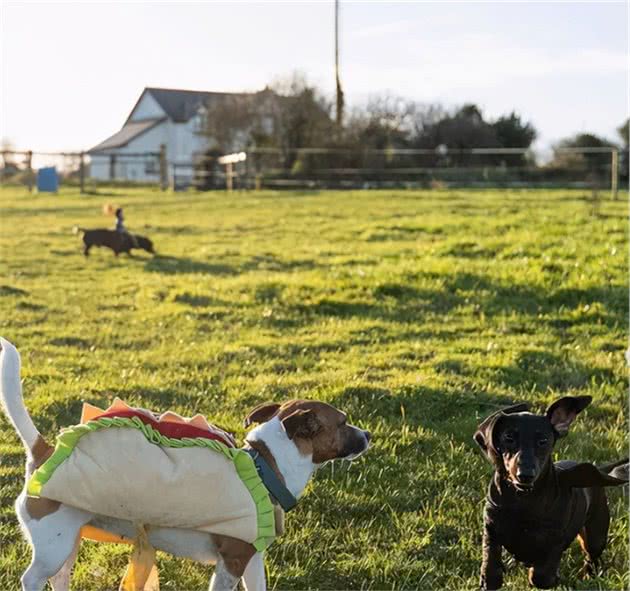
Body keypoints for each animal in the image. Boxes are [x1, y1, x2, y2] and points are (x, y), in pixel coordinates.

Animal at [0, 338, 372, 591]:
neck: (264, 469)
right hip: (53, 545)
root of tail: (44, 452)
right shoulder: (231, 563)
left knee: (60, 576)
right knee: (32, 577)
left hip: (67, 539)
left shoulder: (252, 561)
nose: (368, 434)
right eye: (343, 422)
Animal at [476, 398, 628, 591]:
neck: (523, 499)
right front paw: (489, 577)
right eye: (508, 437)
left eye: (543, 440)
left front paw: (552, 578)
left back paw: (588, 575)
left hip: (596, 533)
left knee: (592, 556)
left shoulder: (555, 539)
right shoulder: (491, 527)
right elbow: (491, 561)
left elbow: (541, 575)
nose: (525, 474)